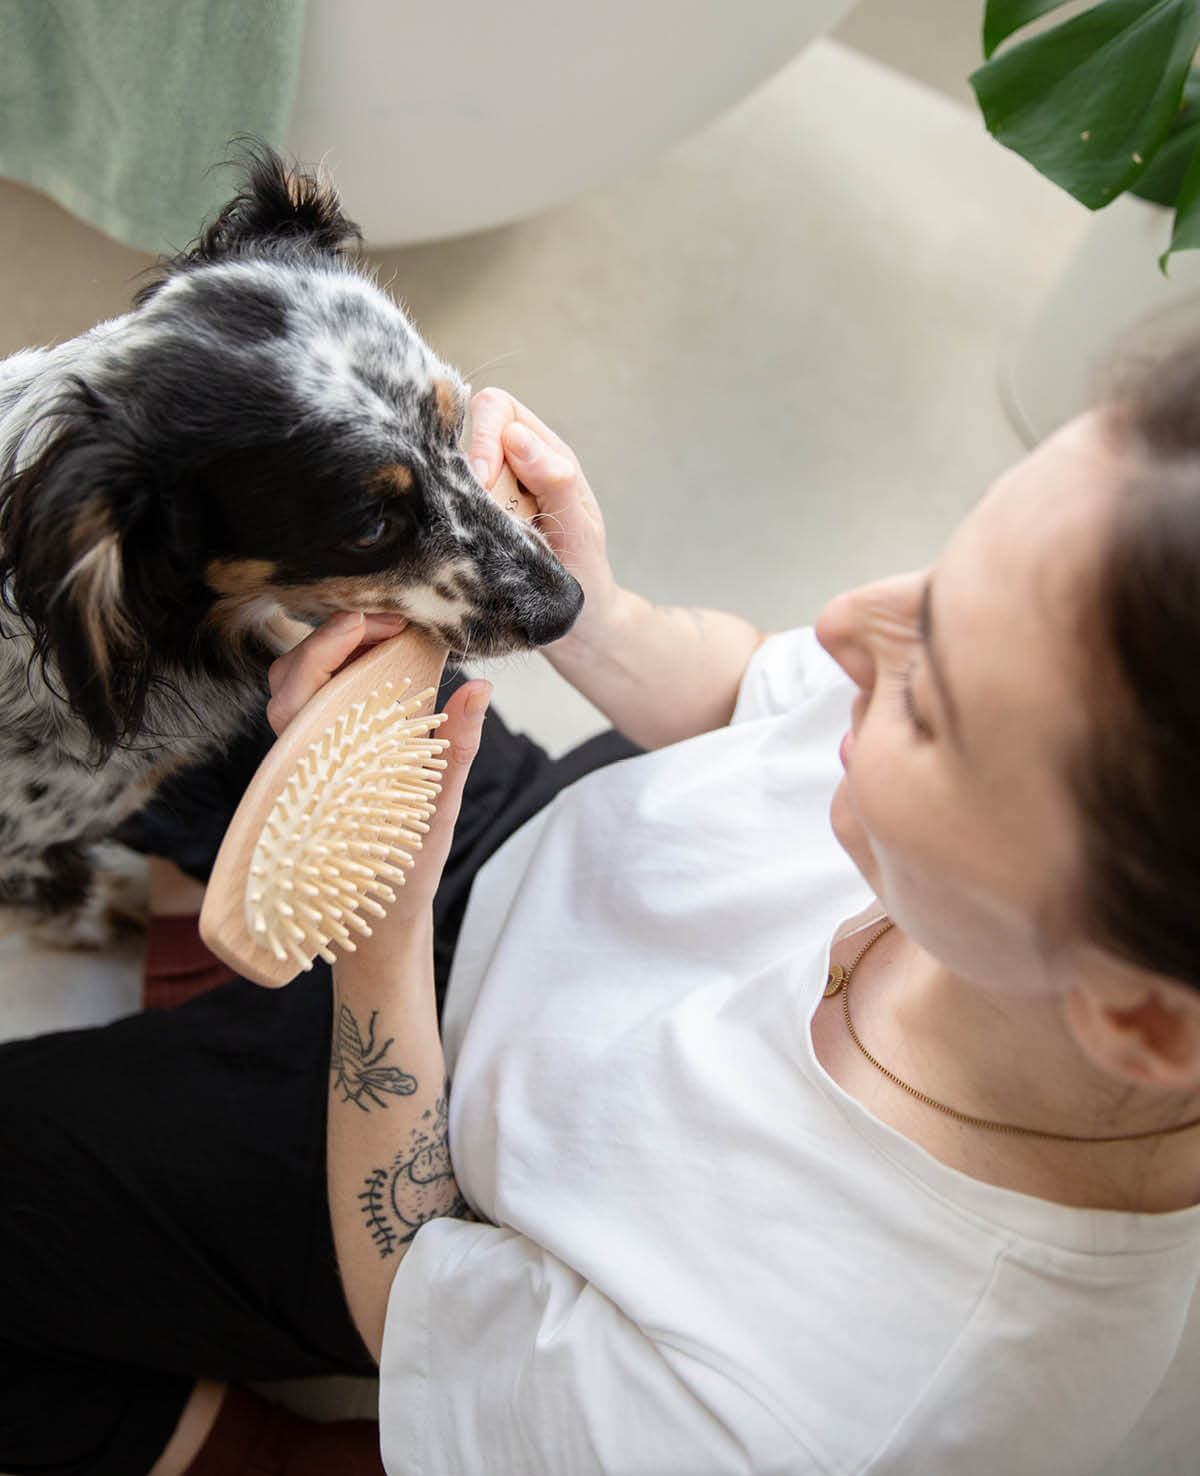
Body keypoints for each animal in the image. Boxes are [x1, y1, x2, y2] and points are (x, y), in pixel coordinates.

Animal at [0, 140, 581, 944]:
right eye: (370, 529)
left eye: (455, 419)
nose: (569, 606)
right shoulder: (25, 853)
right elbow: (83, 906)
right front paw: (140, 916)